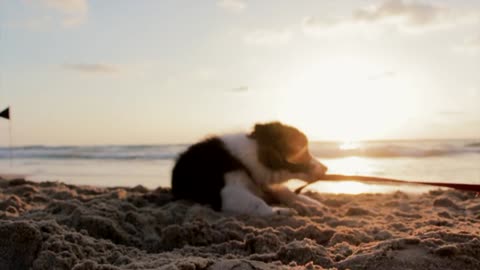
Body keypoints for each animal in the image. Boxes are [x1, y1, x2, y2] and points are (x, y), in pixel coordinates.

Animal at [171, 122, 328, 215]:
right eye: (303, 152)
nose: (326, 168)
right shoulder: (228, 192)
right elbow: (258, 202)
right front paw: (278, 210)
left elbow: (286, 191)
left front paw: (309, 203)